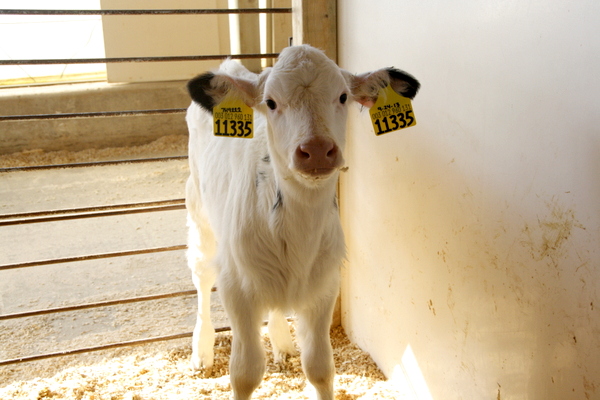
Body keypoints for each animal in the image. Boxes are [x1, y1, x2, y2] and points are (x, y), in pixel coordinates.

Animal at [185, 44, 420, 400]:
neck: (298, 236)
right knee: (201, 274)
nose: (318, 149)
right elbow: (244, 373)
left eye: (342, 96)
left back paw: (282, 342)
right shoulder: (236, 287)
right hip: (199, 212)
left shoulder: (324, 287)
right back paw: (202, 351)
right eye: (271, 102)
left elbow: (320, 367)